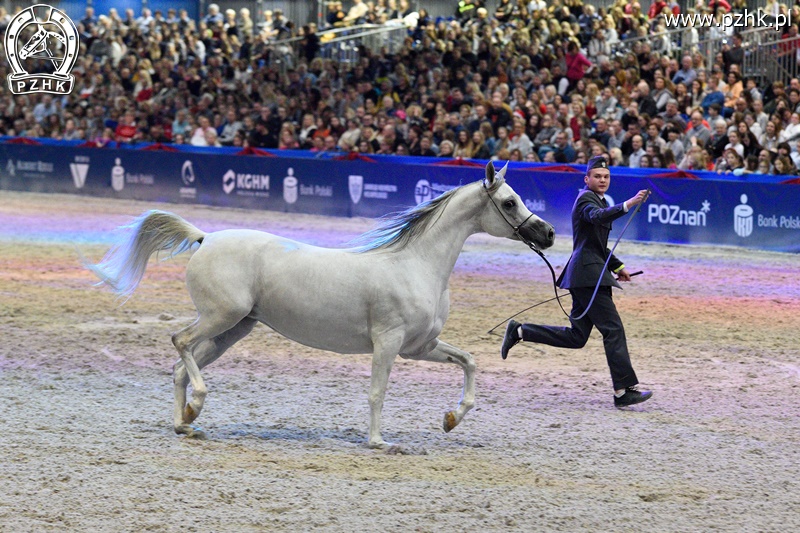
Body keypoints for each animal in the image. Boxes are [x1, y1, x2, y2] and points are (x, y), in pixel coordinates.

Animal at [86, 160, 552, 446]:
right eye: (509, 201)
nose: (546, 234)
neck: (417, 264)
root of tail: (206, 237)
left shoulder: (419, 347)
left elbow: (469, 361)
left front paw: (451, 419)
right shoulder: (388, 343)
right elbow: (377, 392)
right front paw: (379, 442)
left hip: (233, 330)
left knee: (180, 367)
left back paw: (186, 423)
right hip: (221, 318)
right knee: (180, 343)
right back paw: (195, 407)